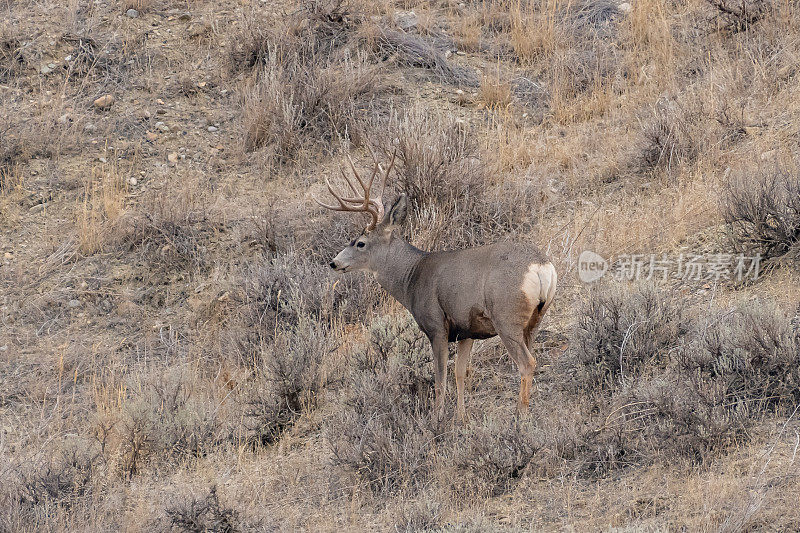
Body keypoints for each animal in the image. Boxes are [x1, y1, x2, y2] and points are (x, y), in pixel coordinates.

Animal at [312, 149, 556, 420]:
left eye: (360, 243)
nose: (334, 263)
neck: (411, 278)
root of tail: (542, 266)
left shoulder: (436, 326)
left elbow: (440, 379)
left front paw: (437, 418)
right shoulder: (466, 329)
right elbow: (460, 373)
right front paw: (461, 417)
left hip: (506, 316)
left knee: (527, 363)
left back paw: (520, 417)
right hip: (535, 318)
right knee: (530, 357)